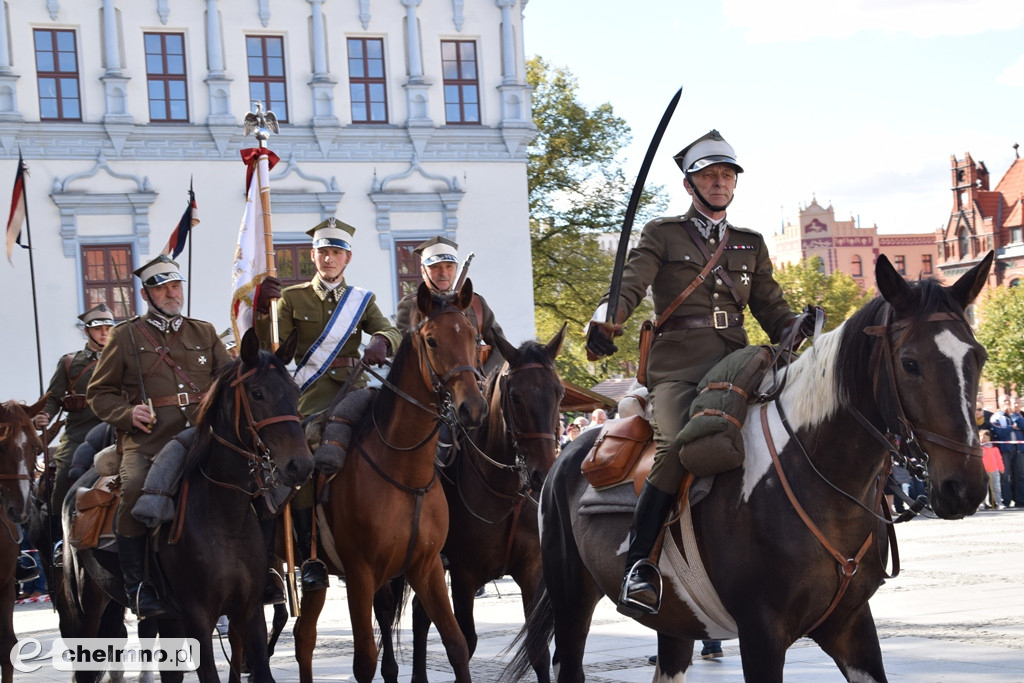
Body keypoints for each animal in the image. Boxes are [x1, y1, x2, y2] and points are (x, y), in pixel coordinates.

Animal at [294, 280, 489, 679]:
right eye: (432, 340)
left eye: (472, 335)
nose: (473, 408)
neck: (404, 471)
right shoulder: (359, 575)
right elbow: (365, 660)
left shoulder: (427, 568)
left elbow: (457, 644)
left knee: (304, 638)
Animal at [401, 325, 569, 683]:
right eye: (516, 397)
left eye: (559, 392)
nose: (543, 473)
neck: (503, 491)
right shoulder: (463, 577)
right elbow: (467, 640)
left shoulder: (531, 573)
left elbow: (537, 650)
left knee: (421, 615)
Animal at [507, 252, 995, 683]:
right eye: (910, 363)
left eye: (979, 356)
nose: (966, 487)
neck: (818, 479)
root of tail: (566, 456)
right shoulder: (762, 635)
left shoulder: (851, 627)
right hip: (571, 601)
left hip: (674, 620)